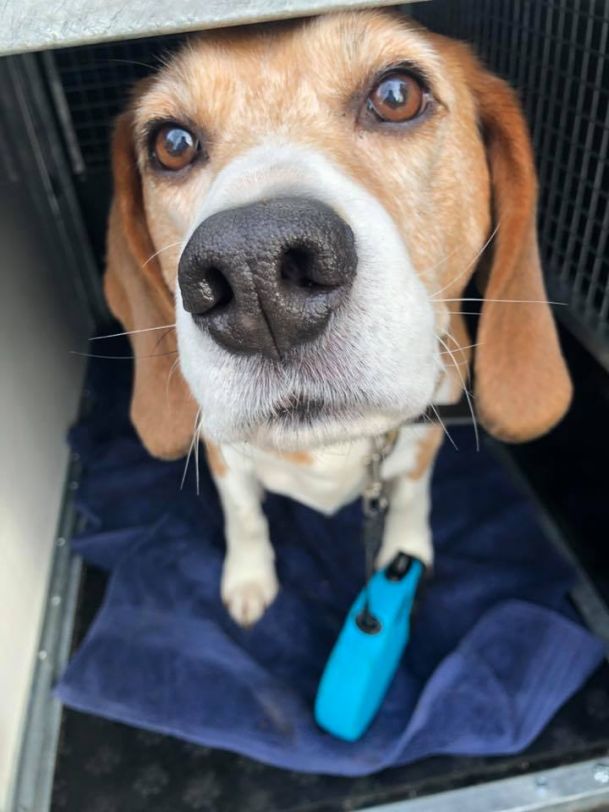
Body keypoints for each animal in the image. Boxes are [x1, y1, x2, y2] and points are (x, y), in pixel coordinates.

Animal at [104, 10, 572, 627]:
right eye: (172, 144)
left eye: (397, 95)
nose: (253, 271)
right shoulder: (221, 451)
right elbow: (244, 514)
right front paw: (249, 578)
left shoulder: (428, 422)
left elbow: (412, 495)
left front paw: (405, 552)